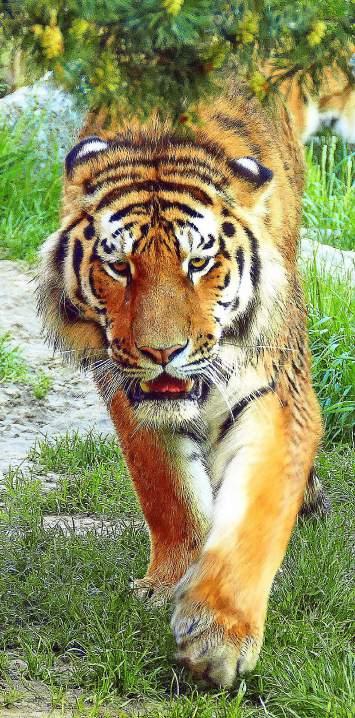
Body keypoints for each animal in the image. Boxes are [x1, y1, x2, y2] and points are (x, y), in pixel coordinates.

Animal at [38, 81, 326, 688]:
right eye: (119, 265)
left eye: (198, 262)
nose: (162, 352)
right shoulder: (127, 393)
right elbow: (169, 491)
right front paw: (170, 583)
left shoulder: (276, 399)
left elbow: (254, 518)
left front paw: (219, 639)